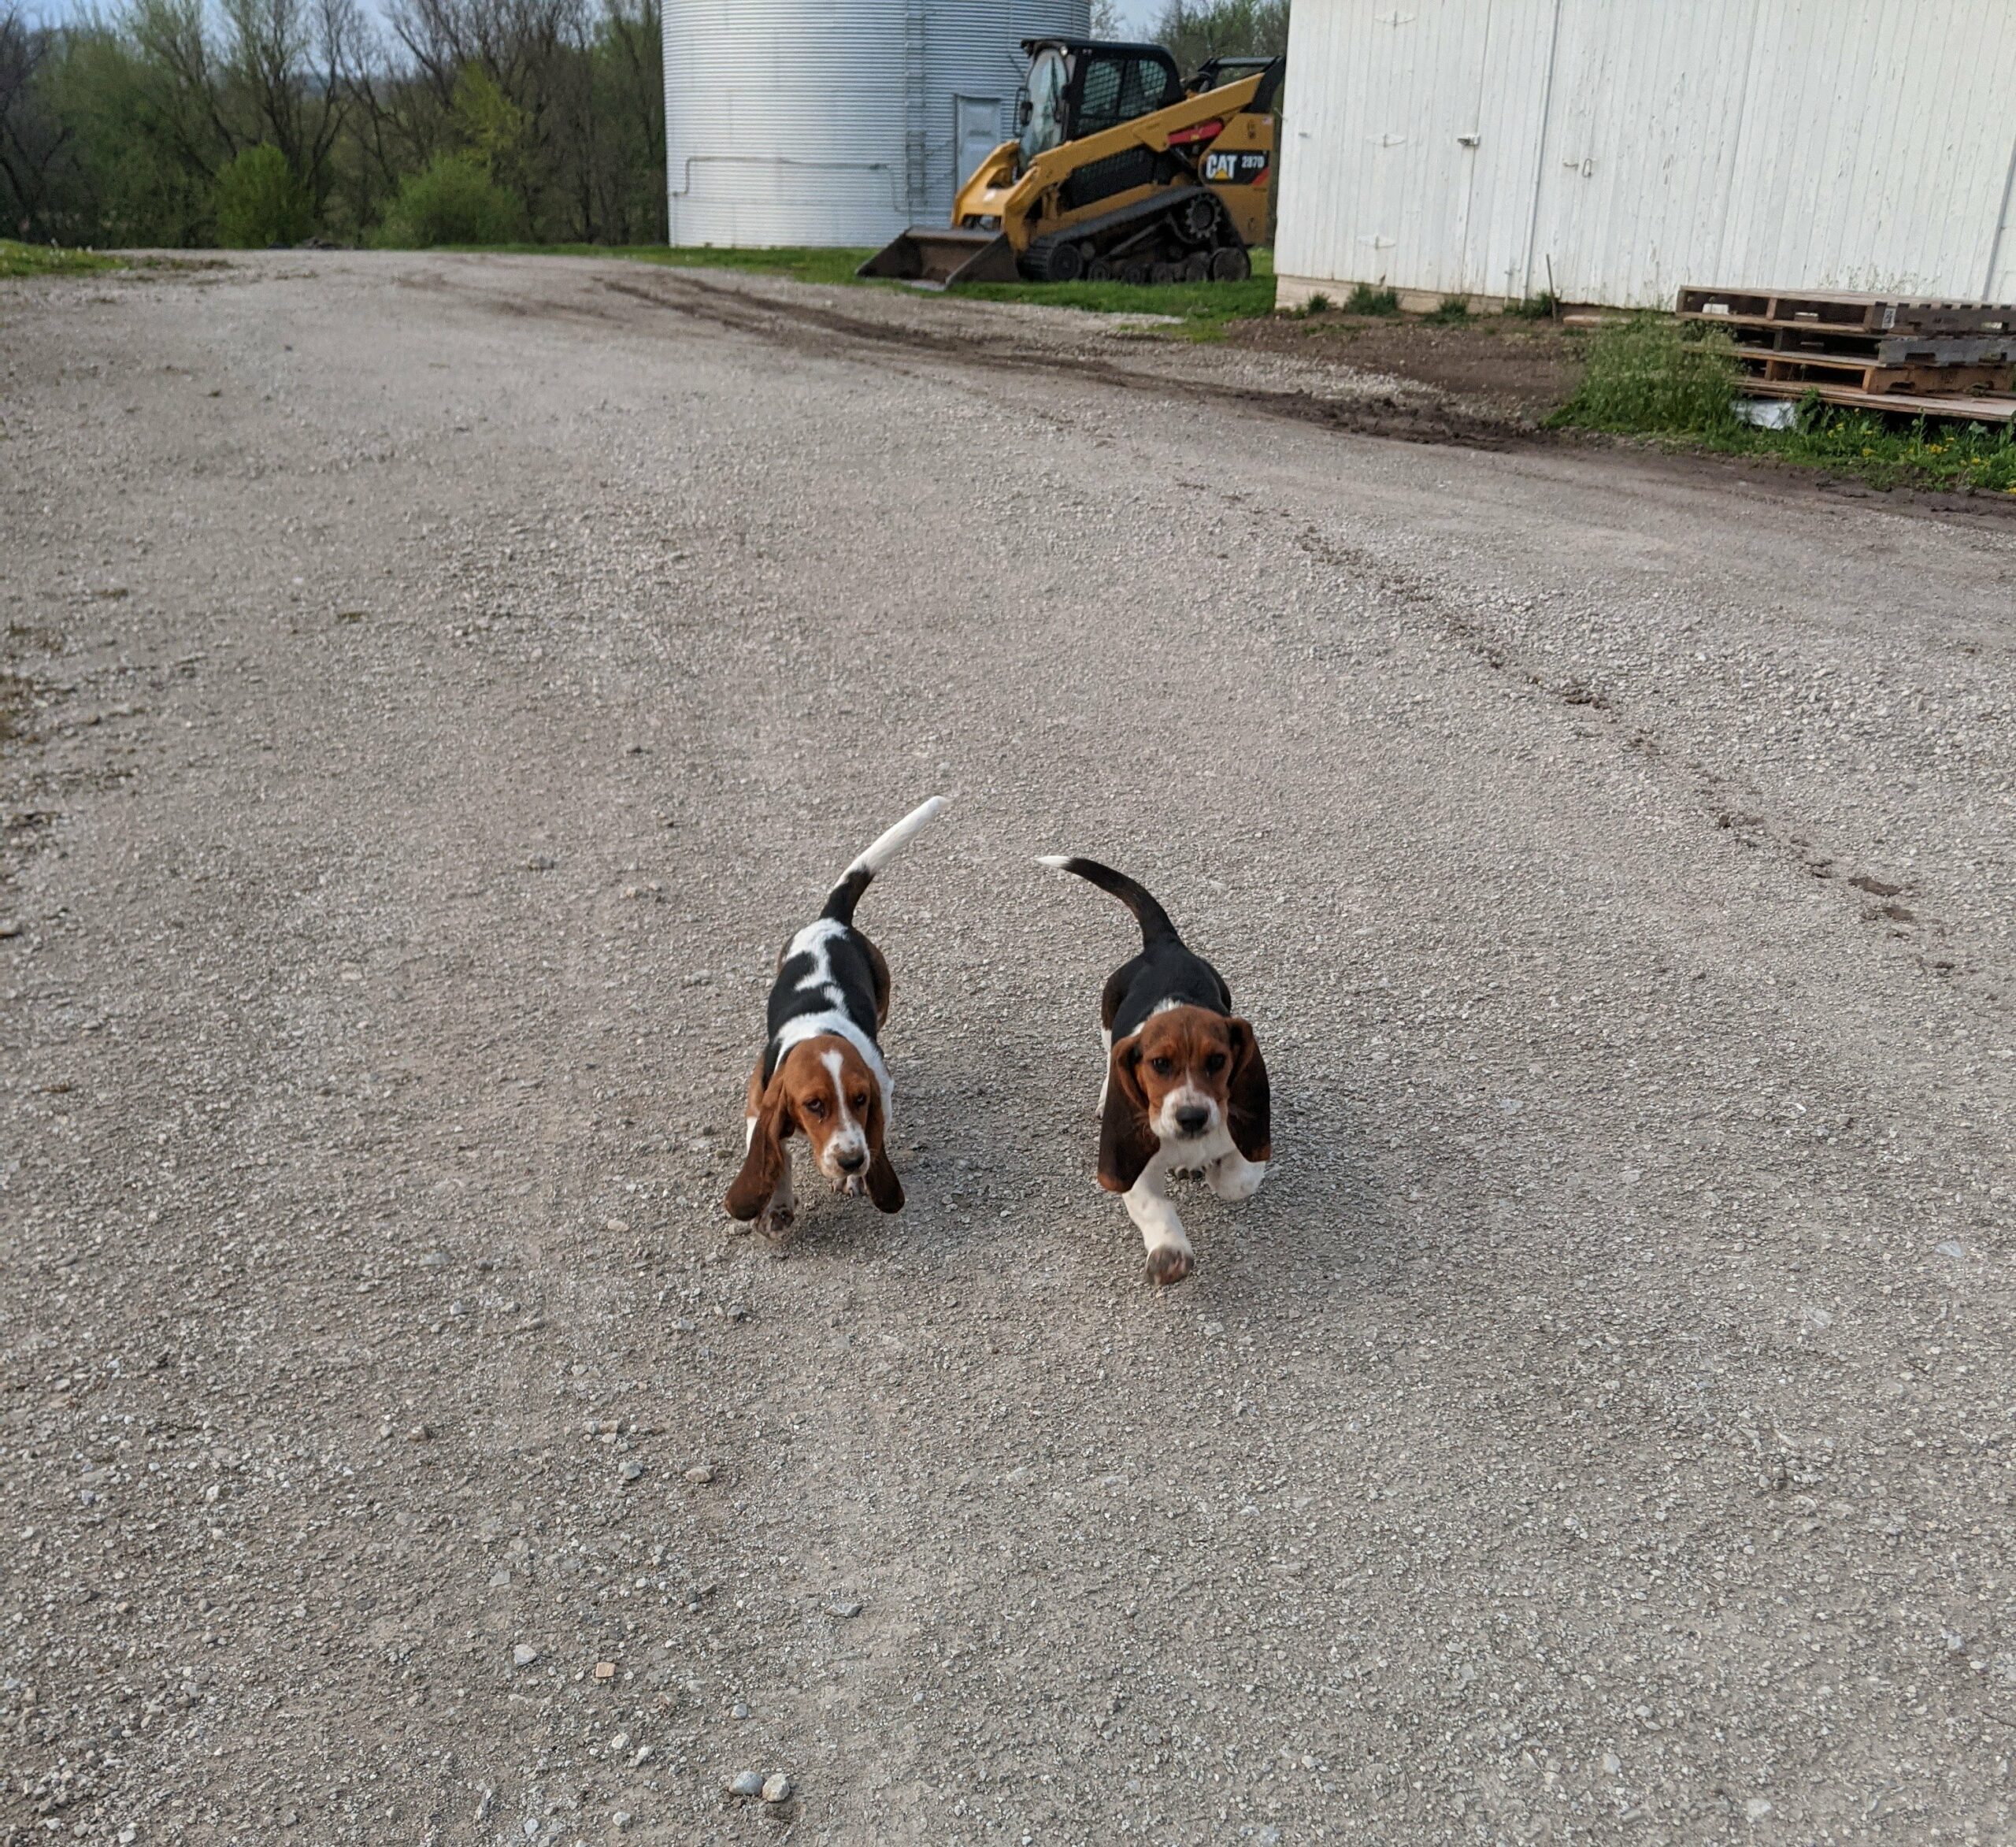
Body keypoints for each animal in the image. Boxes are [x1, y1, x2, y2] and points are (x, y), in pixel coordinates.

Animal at [725, 798, 943, 1241]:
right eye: (814, 1105)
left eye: (860, 1100)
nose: (851, 1162)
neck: (818, 1029)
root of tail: (833, 921)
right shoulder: (758, 1105)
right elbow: (775, 1151)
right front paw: (776, 1206)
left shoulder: (881, 1092)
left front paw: (855, 1179)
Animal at [1040, 855, 1258, 1274]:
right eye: (1159, 1065)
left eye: (1217, 1061)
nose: (1192, 1118)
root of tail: (1165, 945)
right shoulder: (1135, 1166)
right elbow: (1153, 1207)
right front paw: (1169, 1252)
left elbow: (1239, 1180)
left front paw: (1214, 1170)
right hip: (1107, 1021)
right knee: (1111, 1057)